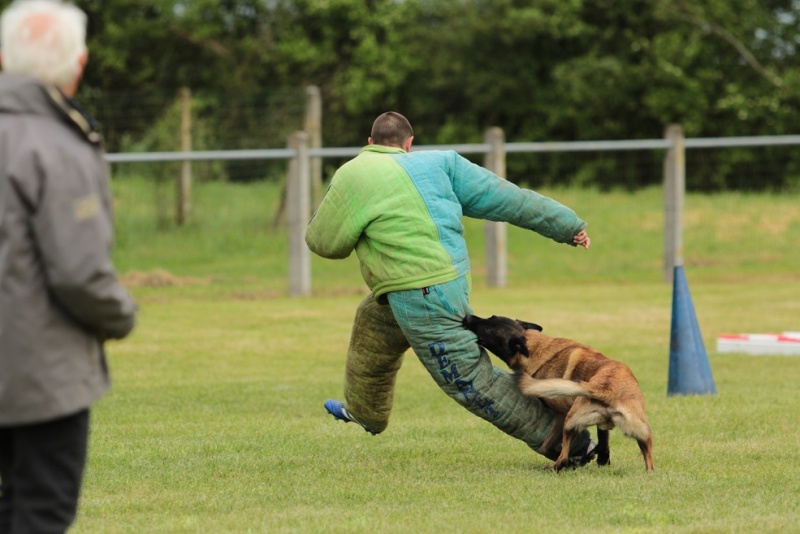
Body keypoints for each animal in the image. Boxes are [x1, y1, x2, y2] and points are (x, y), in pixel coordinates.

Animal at [462, 314, 656, 474]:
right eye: (491, 316)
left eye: (488, 330)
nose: (467, 317)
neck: (534, 346)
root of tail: (604, 388)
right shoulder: (600, 424)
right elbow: (603, 438)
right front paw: (603, 458)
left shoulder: (561, 414)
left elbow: (546, 447)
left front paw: (572, 460)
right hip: (643, 433)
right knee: (650, 464)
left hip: (569, 422)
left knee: (561, 457)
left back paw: (559, 465)